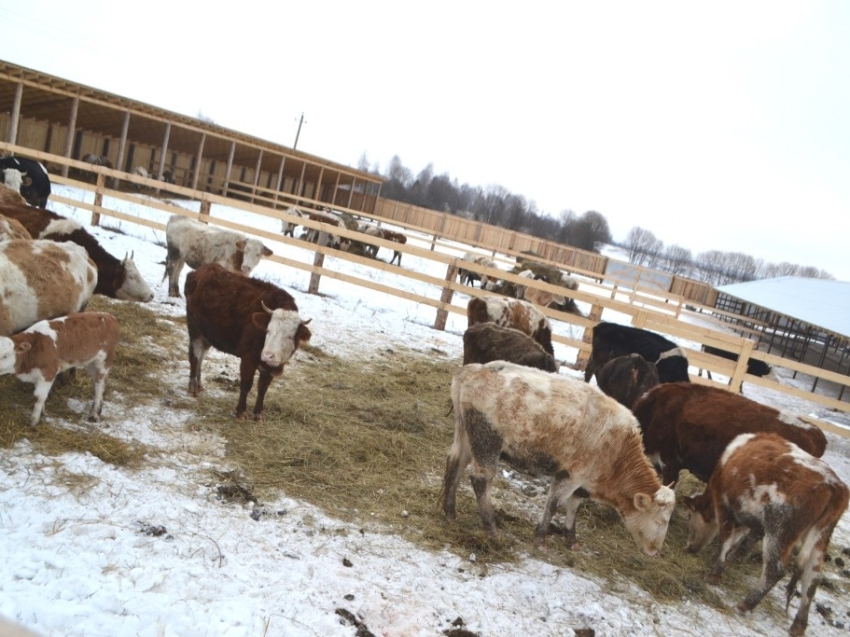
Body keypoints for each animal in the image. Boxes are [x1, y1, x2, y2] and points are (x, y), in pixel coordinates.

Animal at [182, 260, 312, 420]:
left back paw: (199, 385)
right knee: (194, 356)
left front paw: (258, 414)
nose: (268, 355)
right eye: (268, 330)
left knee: (201, 356)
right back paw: (193, 386)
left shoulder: (268, 367)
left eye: (289, 336)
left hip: (207, 335)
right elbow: (246, 384)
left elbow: (263, 388)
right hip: (195, 330)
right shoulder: (248, 358)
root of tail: (199, 271)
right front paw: (240, 411)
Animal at [438, 360, 676, 556]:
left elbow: (573, 507)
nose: (655, 551)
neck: (619, 449)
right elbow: (554, 504)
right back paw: (491, 528)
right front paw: (541, 539)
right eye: (659, 521)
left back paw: (450, 512)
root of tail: (474, 370)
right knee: (481, 481)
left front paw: (571, 540)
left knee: (455, 464)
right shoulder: (571, 475)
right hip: (487, 441)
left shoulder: (583, 483)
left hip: (466, 435)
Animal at [684, 432, 848, 636]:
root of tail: (834, 485)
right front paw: (732, 558)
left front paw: (716, 572)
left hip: (778, 532)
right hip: (820, 537)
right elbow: (742, 539)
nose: (689, 547)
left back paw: (746, 604)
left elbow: (726, 537)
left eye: (690, 516)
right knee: (812, 578)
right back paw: (798, 624)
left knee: (773, 571)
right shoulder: (752, 519)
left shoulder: (723, 503)